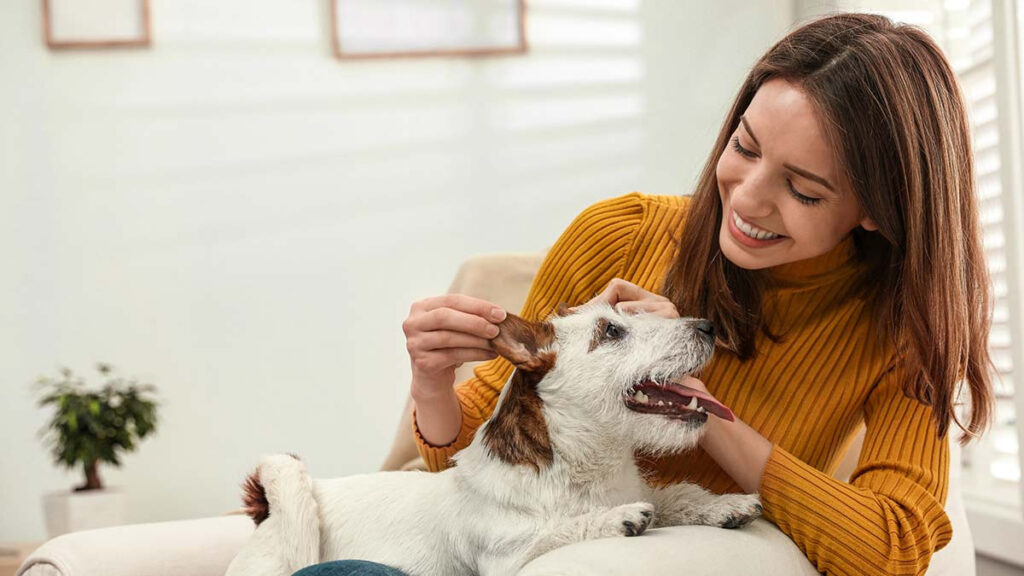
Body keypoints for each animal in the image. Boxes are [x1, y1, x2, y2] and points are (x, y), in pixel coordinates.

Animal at [226, 303, 770, 569]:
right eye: (612, 332)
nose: (708, 326)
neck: (584, 469)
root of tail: (266, 509)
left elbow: (675, 495)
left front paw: (723, 504)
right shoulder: (506, 560)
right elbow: (558, 531)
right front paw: (615, 519)